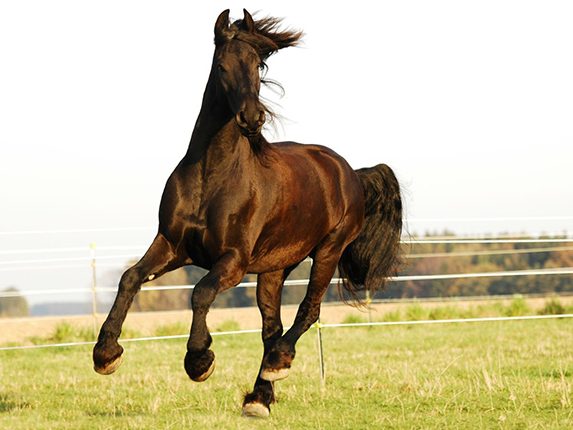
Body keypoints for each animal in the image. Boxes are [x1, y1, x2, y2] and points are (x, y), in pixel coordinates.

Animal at [91, 9, 400, 416]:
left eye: (258, 65)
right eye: (222, 66)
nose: (252, 118)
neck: (211, 175)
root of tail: (349, 172)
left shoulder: (233, 260)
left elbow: (201, 293)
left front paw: (199, 361)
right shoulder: (173, 246)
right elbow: (130, 278)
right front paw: (106, 354)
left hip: (328, 252)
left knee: (307, 312)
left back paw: (277, 365)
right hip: (273, 269)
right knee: (272, 327)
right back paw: (259, 398)